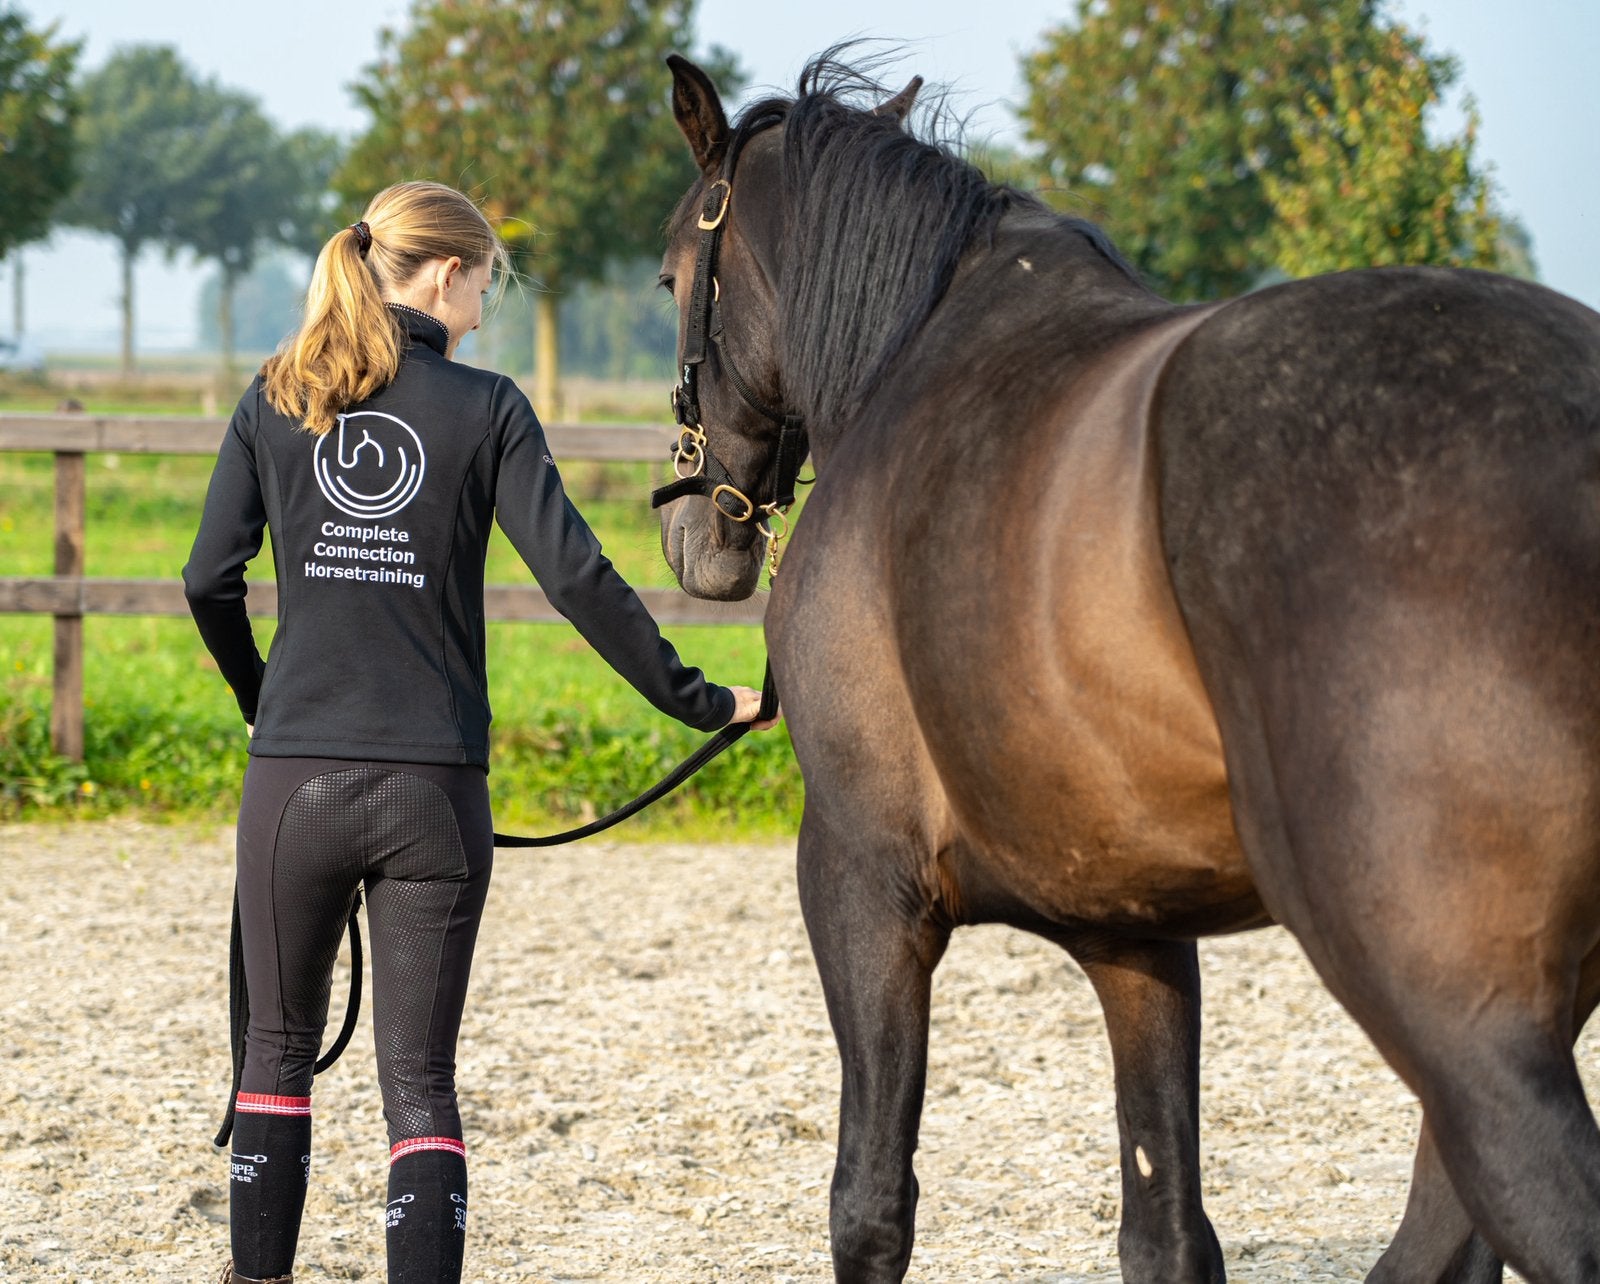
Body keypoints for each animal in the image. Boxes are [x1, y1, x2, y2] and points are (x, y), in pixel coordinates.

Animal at [653, 51, 1600, 1284]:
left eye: (671, 273)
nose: (694, 533)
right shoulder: (1136, 933)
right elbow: (1166, 1229)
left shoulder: (862, 874)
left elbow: (868, 1205)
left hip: (1460, 1010)